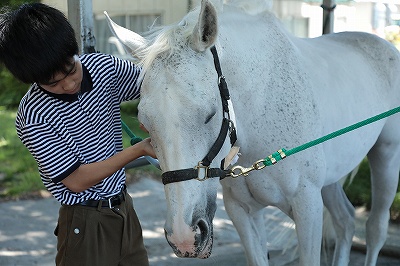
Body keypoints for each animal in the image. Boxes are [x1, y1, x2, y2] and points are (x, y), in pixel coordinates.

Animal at [104, 0, 400, 264]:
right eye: (144, 123)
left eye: (210, 114)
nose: (184, 237)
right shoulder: (242, 211)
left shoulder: (307, 207)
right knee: (346, 222)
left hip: (386, 157)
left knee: (375, 228)